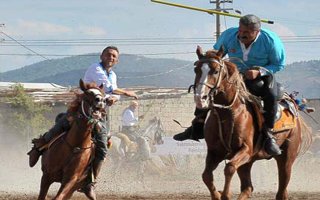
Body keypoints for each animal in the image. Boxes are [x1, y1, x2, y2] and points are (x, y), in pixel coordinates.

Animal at [192, 45, 312, 200]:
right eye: (196, 69)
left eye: (216, 71)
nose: (200, 98)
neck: (229, 113)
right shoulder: (214, 152)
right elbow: (206, 175)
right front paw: (217, 195)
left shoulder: (245, 149)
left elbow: (229, 168)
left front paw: (225, 195)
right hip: (248, 162)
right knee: (248, 188)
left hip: (286, 157)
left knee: (281, 189)